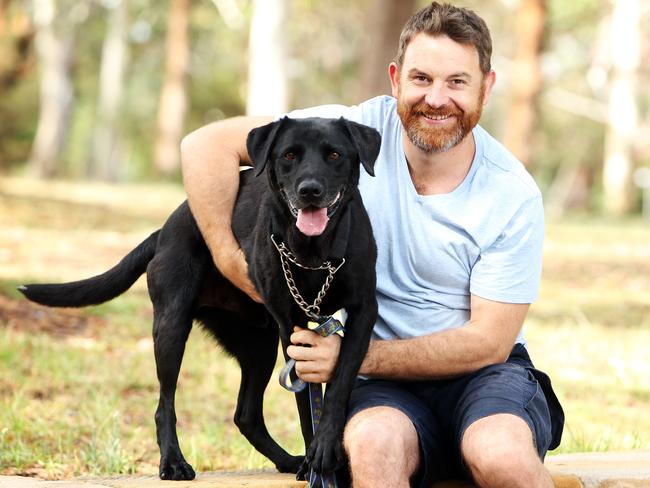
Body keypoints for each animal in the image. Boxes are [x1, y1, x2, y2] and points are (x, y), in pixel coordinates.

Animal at [20, 117, 380, 480]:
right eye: (289, 155)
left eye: (334, 154)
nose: (309, 191)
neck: (313, 254)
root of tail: (164, 230)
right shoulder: (291, 325)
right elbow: (307, 406)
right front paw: (314, 464)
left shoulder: (362, 312)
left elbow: (338, 384)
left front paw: (322, 452)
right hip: (172, 328)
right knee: (165, 404)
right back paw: (173, 462)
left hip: (258, 343)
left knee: (246, 415)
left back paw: (286, 460)